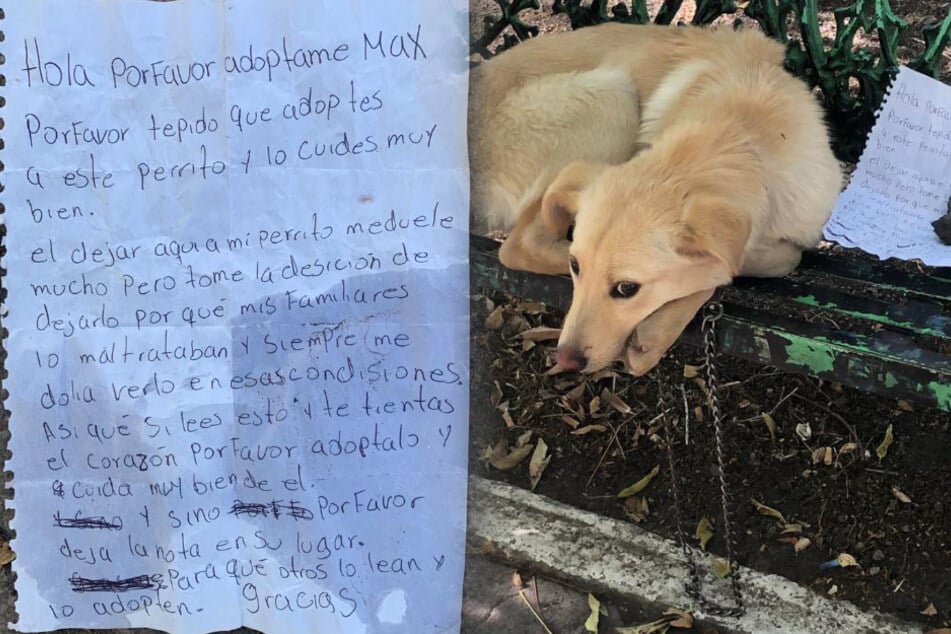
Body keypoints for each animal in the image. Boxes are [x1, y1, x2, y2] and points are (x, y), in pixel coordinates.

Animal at [468, 23, 840, 376]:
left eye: (626, 288)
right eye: (576, 267)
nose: (566, 360)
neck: (740, 139)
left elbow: (764, 259)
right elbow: (729, 267)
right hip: (613, 96)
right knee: (516, 246)